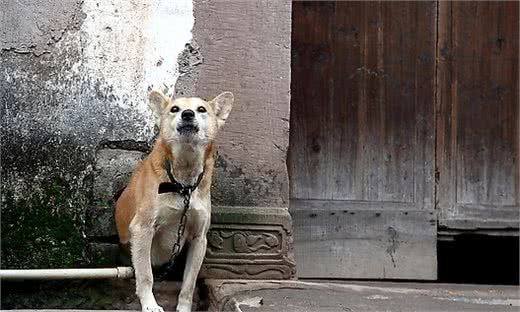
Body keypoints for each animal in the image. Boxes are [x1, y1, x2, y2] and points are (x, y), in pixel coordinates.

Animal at [117, 89, 235, 312]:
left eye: (201, 109)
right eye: (174, 109)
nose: (187, 114)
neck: (183, 184)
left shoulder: (199, 239)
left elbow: (189, 284)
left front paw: (184, 308)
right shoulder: (142, 229)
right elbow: (145, 276)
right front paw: (150, 305)